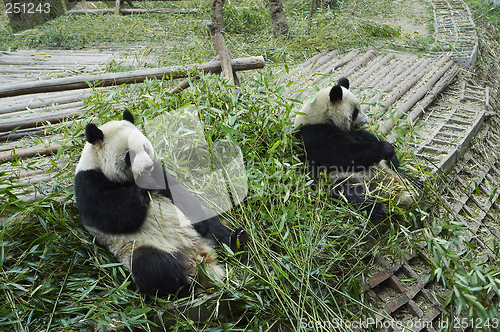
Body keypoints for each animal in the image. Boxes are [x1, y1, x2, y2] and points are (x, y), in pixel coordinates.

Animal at [73, 110, 246, 296]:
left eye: (145, 147)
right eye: (129, 155)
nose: (147, 166)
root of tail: (198, 254)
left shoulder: (158, 171)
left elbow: (177, 191)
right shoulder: (88, 184)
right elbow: (116, 215)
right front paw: (144, 185)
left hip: (195, 230)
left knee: (214, 228)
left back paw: (237, 239)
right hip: (139, 246)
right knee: (153, 267)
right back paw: (185, 286)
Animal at [292, 77, 418, 220]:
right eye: (355, 112)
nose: (365, 120)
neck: (321, 116)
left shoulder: (353, 132)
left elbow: (367, 137)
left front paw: (392, 156)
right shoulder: (314, 137)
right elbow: (343, 154)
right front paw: (386, 149)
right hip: (342, 180)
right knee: (347, 193)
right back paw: (376, 208)